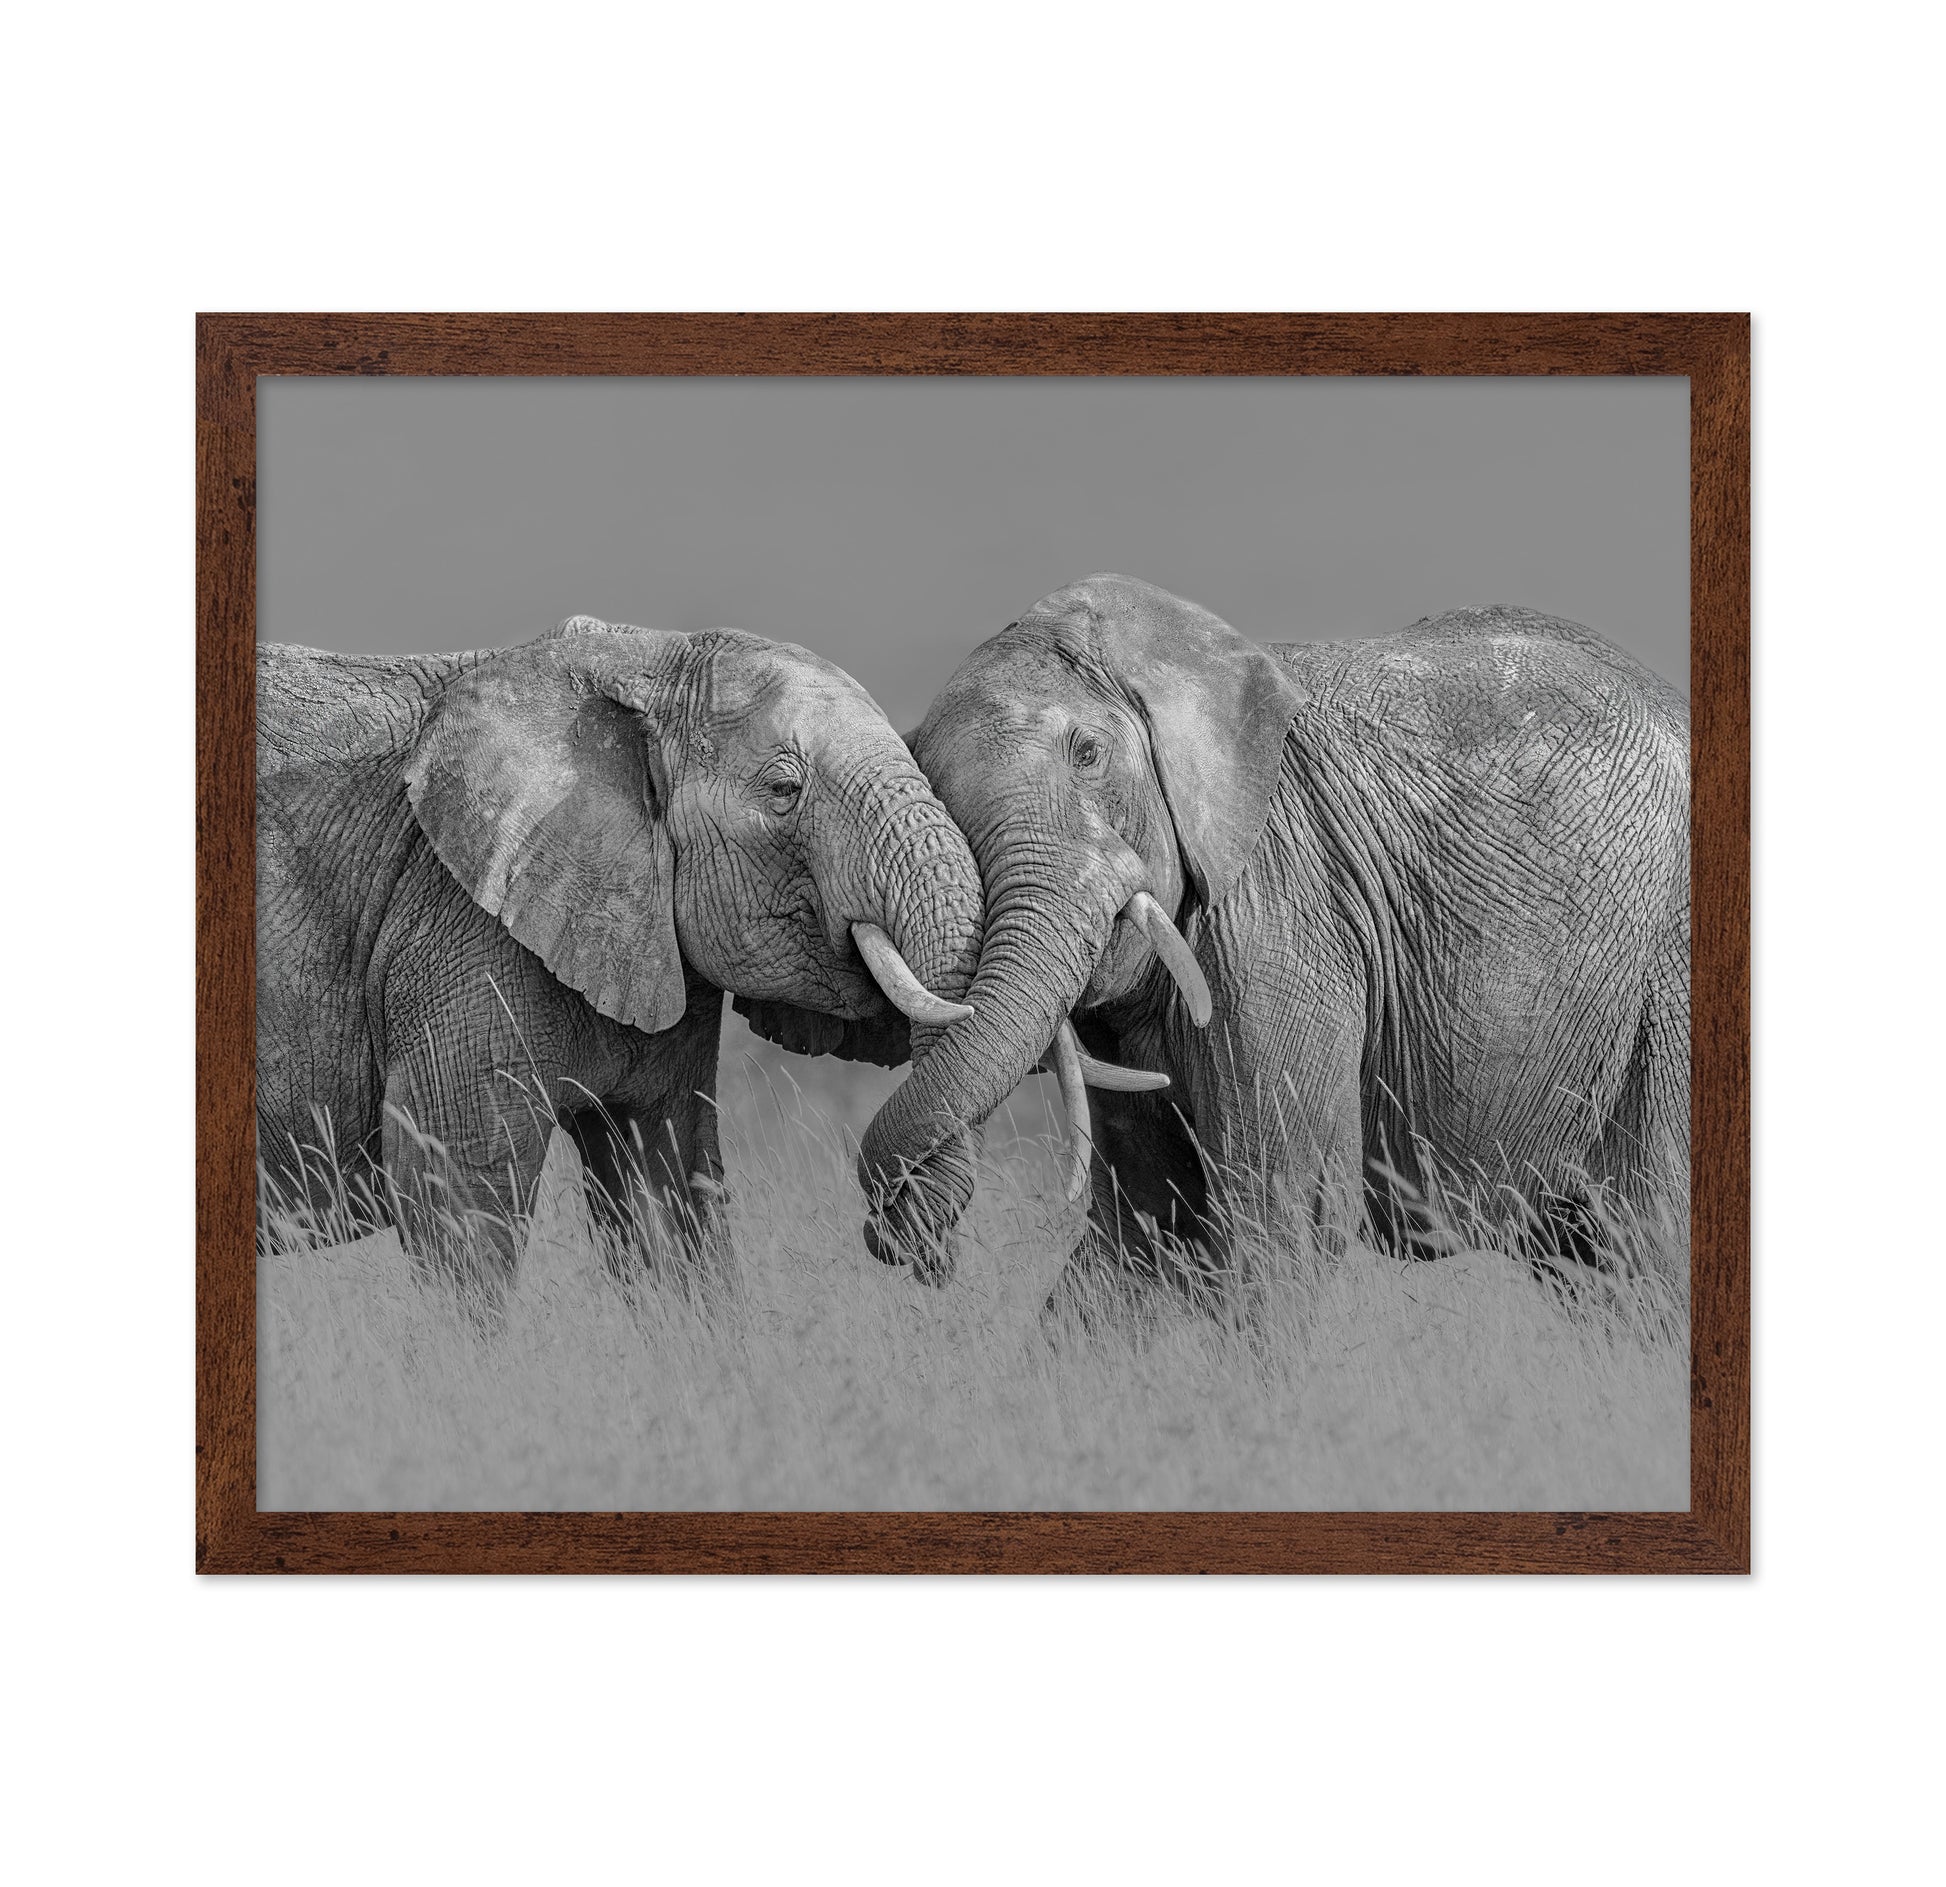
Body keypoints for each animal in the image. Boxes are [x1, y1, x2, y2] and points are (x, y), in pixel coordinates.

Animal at [256, 614, 983, 1277]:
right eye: (784, 791)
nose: (909, 1245)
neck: (643, 660)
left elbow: (666, 1190)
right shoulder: (457, 924)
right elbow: (457, 1197)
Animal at [842, 574, 1689, 1289]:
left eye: (1086, 753)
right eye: (930, 786)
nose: (923, 1253)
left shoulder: (1282, 905)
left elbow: (1282, 1216)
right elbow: (1143, 1230)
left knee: (1650, 1244)